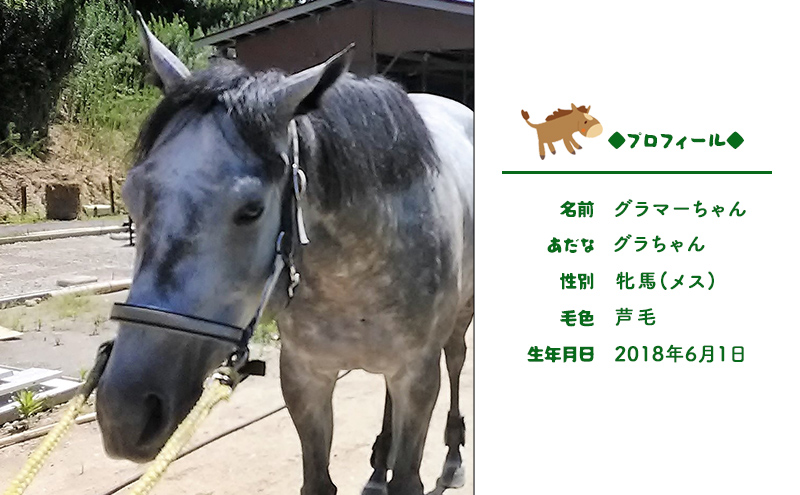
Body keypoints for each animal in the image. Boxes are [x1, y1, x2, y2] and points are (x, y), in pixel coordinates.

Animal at [94, 14, 473, 495]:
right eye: (132, 194)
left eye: (251, 210)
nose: (125, 413)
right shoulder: (304, 378)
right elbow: (317, 479)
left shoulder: (418, 376)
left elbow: (408, 475)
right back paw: (376, 467)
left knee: (457, 359)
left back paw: (454, 456)